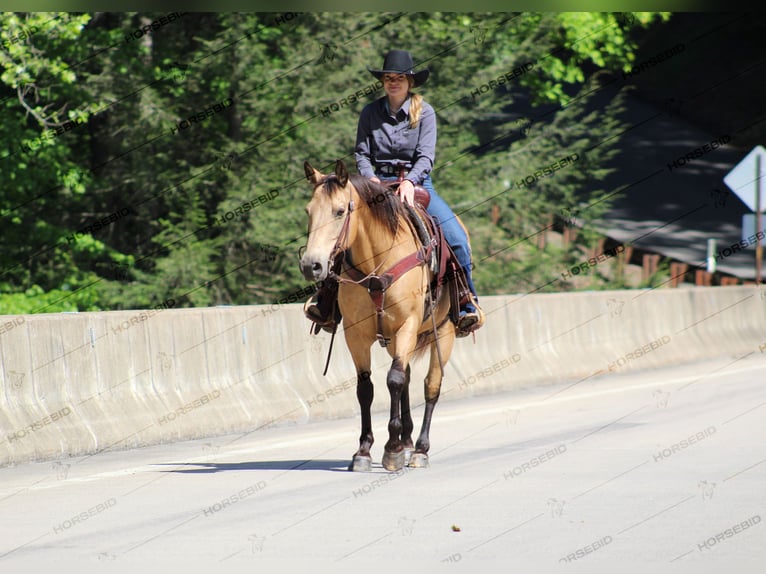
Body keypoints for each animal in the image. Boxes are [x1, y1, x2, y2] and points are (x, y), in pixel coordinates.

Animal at [298, 161, 468, 472]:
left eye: (339, 211)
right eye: (309, 211)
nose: (311, 265)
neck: (377, 264)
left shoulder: (407, 325)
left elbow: (395, 381)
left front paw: (392, 449)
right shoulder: (356, 333)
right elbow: (366, 388)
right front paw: (364, 450)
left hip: (444, 333)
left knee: (430, 385)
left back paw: (420, 449)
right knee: (409, 377)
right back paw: (408, 441)